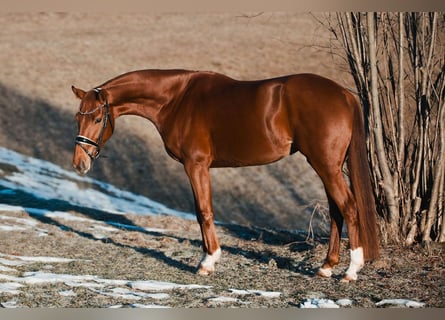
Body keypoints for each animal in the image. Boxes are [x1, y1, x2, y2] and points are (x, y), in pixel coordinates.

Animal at [73, 69, 378, 280]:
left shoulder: (195, 165)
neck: (177, 98)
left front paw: (208, 262)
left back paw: (351, 271)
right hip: (327, 166)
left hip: (325, 165)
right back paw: (326, 267)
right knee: (337, 212)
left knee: (349, 207)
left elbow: (203, 211)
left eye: (98, 119)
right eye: (78, 118)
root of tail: (343, 94)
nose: (79, 164)